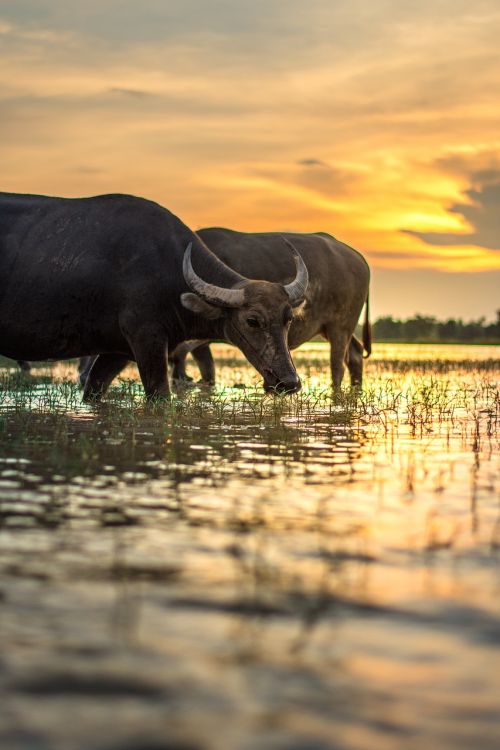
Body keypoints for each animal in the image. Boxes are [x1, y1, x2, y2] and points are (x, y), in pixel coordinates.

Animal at [0, 192, 306, 400]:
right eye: (252, 320)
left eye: (288, 319)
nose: (289, 382)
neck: (169, 271)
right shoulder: (148, 340)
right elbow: (160, 394)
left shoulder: (117, 352)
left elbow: (94, 390)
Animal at [166, 228, 370, 388]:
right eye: (253, 321)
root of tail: (359, 259)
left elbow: (198, 367)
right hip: (333, 329)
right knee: (355, 354)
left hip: (340, 328)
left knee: (338, 366)